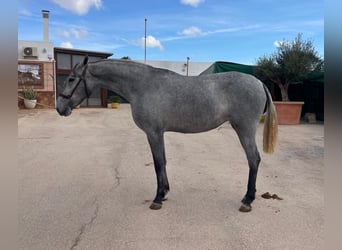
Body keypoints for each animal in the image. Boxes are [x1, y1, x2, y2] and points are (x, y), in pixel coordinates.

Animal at [56, 55, 278, 212]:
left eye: (71, 79)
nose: (59, 108)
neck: (143, 86)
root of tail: (259, 82)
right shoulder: (158, 133)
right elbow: (163, 161)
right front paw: (164, 192)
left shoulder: (153, 133)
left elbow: (157, 164)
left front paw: (157, 198)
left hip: (244, 129)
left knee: (254, 159)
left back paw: (248, 200)